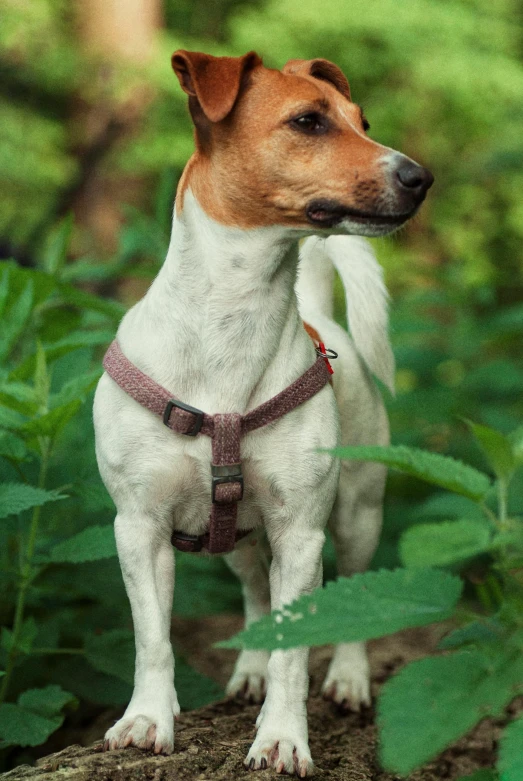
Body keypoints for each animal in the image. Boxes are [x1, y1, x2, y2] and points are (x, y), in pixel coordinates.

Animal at [94, 48, 434, 772]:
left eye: (362, 121)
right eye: (308, 121)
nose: (421, 176)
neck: (233, 319)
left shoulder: (301, 533)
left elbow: (294, 648)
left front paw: (282, 736)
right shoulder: (138, 526)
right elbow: (152, 638)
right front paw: (147, 718)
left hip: (358, 513)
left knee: (352, 593)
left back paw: (348, 677)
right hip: (239, 541)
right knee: (252, 593)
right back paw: (247, 670)